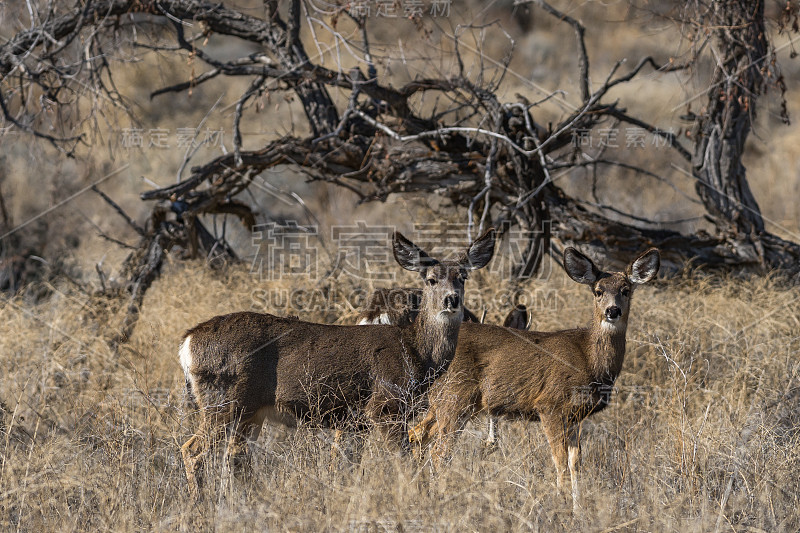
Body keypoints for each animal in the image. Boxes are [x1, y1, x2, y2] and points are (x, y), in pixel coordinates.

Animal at [178, 228, 496, 494]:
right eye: (430, 280)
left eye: (463, 277)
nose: (451, 300)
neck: (416, 352)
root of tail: (187, 343)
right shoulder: (384, 406)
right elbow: (405, 460)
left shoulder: (358, 421)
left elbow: (350, 465)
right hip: (223, 401)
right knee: (192, 450)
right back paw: (199, 505)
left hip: (249, 412)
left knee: (234, 458)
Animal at [410, 247, 660, 510]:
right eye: (598, 291)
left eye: (626, 290)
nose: (613, 311)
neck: (589, 358)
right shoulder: (550, 404)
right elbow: (559, 460)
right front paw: (562, 506)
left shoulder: (575, 416)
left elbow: (575, 462)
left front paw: (578, 508)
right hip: (456, 396)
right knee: (439, 451)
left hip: (443, 400)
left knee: (417, 434)